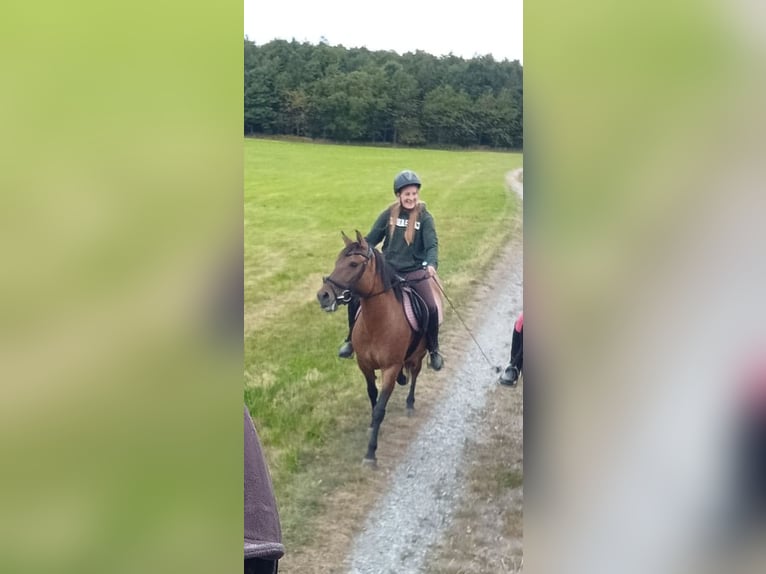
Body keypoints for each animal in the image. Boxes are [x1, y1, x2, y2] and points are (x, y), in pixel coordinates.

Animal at [316, 230, 429, 466]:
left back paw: (410, 404)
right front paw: (371, 427)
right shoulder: (365, 365)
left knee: (415, 374)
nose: (323, 295)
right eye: (337, 261)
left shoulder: (390, 369)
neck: (378, 324)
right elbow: (372, 395)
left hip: (419, 355)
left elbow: (379, 409)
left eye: (352, 264)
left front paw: (370, 453)